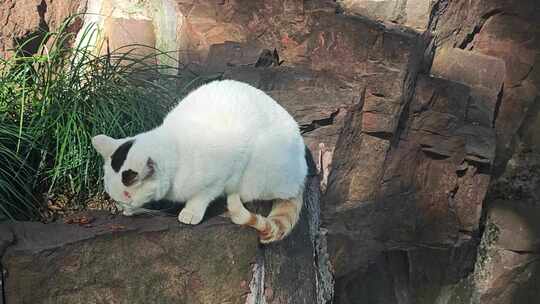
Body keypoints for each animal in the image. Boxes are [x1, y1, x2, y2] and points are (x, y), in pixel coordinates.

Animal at [93, 79, 308, 242]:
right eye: (114, 196)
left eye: (127, 195)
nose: (123, 210)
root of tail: (301, 177)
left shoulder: (223, 173)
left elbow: (203, 195)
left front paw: (190, 212)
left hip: (259, 172)